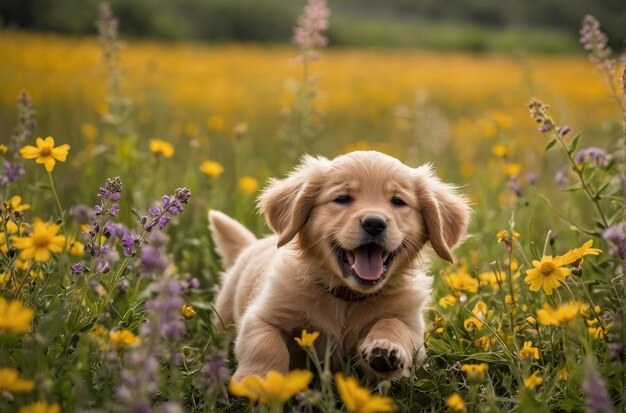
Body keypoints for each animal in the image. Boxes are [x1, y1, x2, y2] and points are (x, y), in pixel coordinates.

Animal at [210, 150, 468, 380]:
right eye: (343, 198)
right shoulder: (263, 315)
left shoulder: (411, 326)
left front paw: (385, 349)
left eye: (398, 201)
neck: (347, 298)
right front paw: (258, 380)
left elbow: (393, 323)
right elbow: (266, 344)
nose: (374, 223)